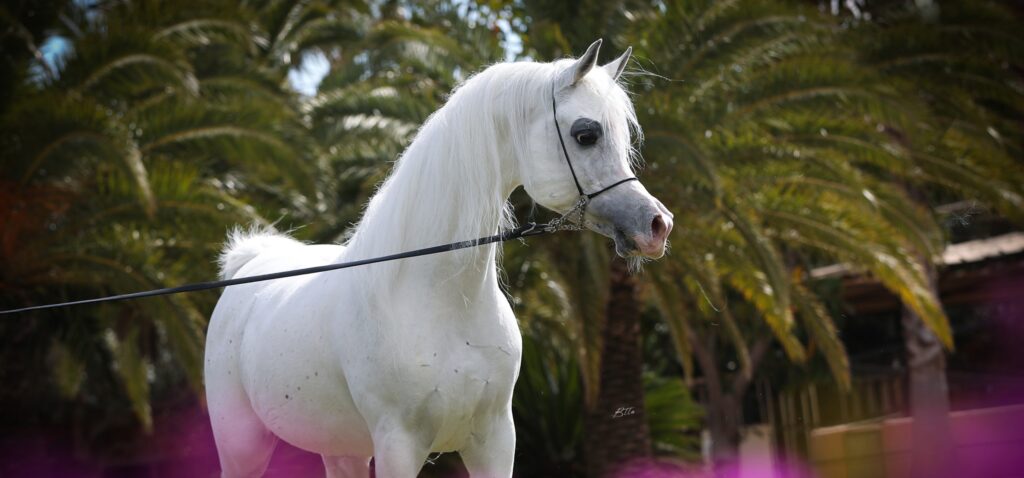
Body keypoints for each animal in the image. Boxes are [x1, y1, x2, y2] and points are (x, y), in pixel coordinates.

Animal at [205, 39, 673, 478]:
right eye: (586, 134)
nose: (658, 225)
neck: (443, 302)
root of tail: (250, 265)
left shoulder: (495, 441)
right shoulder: (399, 446)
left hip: (340, 449)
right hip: (242, 447)